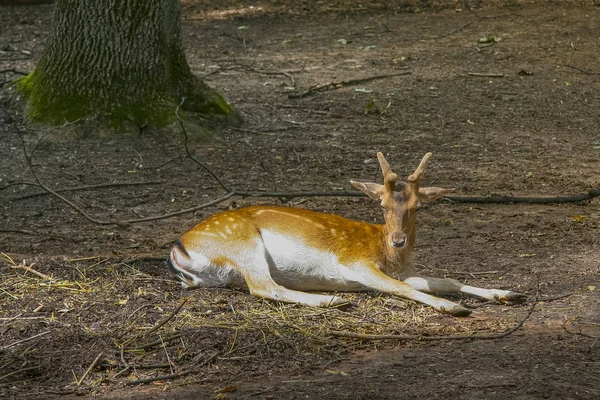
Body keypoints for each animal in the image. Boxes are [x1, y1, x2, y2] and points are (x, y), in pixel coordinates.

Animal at [168, 152, 524, 316]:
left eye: (417, 207)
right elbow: (402, 288)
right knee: (263, 286)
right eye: (381, 204)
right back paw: (334, 300)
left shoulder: (405, 271)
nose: (398, 239)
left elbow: (445, 280)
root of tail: (178, 250)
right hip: (244, 244)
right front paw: (453, 307)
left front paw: (507, 293)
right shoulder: (356, 263)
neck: (389, 255)